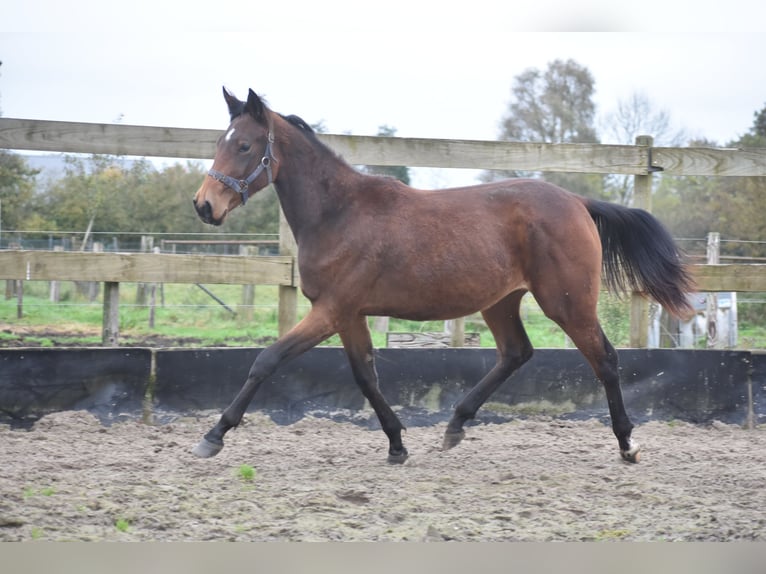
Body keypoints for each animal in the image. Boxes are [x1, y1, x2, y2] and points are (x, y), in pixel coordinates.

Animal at [192, 89, 696, 468]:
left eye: (244, 146)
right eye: (219, 142)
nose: (204, 205)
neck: (339, 214)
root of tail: (577, 202)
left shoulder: (331, 310)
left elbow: (267, 361)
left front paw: (213, 436)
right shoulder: (349, 315)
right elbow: (366, 377)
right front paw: (397, 444)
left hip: (568, 303)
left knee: (605, 359)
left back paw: (627, 444)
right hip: (501, 302)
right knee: (516, 353)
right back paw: (455, 425)